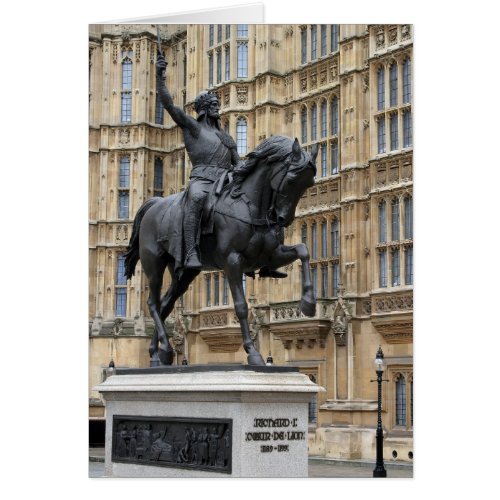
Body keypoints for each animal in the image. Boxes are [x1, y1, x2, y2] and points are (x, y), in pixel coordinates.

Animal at [126, 137, 320, 368]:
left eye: (308, 184)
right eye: (291, 180)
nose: (283, 219)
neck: (250, 205)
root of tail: (154, 203)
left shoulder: (271, 255)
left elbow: (304, 250)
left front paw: (308, 304)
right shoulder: (232, 261)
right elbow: (241, 306)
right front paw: (253, 352)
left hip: (184, 272)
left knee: (165, 304)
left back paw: (157, 354)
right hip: (154, 263)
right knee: (153, 303)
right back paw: (164, 347)